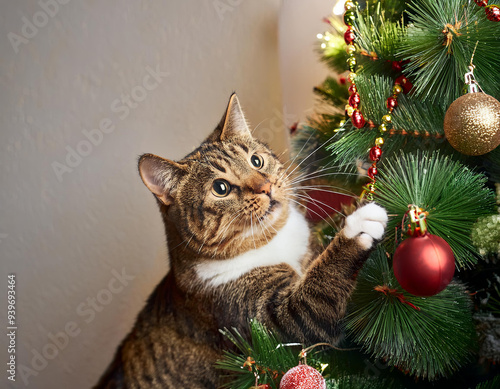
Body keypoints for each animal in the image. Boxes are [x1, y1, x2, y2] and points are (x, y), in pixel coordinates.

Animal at [95, 92, 388, 386]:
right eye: (220, 188)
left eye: (256, 161)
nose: (266, 187)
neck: (270, 239)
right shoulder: (266, 322)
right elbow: (312, 303)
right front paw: (357, 224)